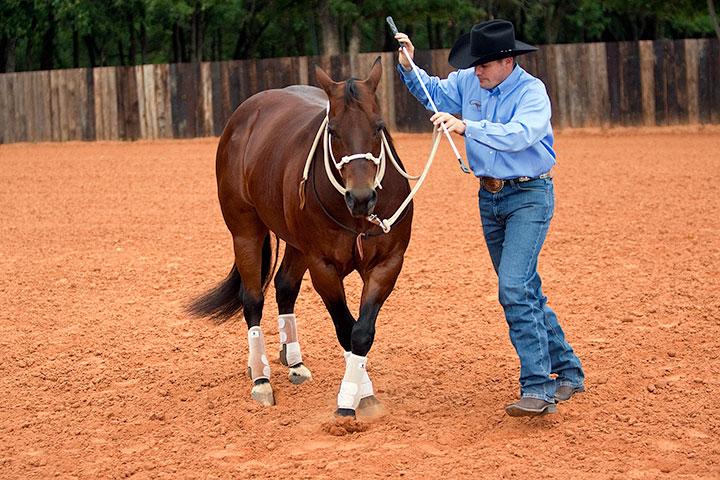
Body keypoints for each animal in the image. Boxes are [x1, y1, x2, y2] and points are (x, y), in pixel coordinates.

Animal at [188, 55, 414, 416]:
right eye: (333, 131)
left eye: (378, 126)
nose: (361, 197)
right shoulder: (322, 266)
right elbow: (346, 328)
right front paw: (351, 397)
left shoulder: (387, 264)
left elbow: (362, 331)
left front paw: (362, 394)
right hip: (245, 232)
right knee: (252, 299)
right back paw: (261, 376)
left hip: (295, 244)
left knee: (284, 287)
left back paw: (293, 361)